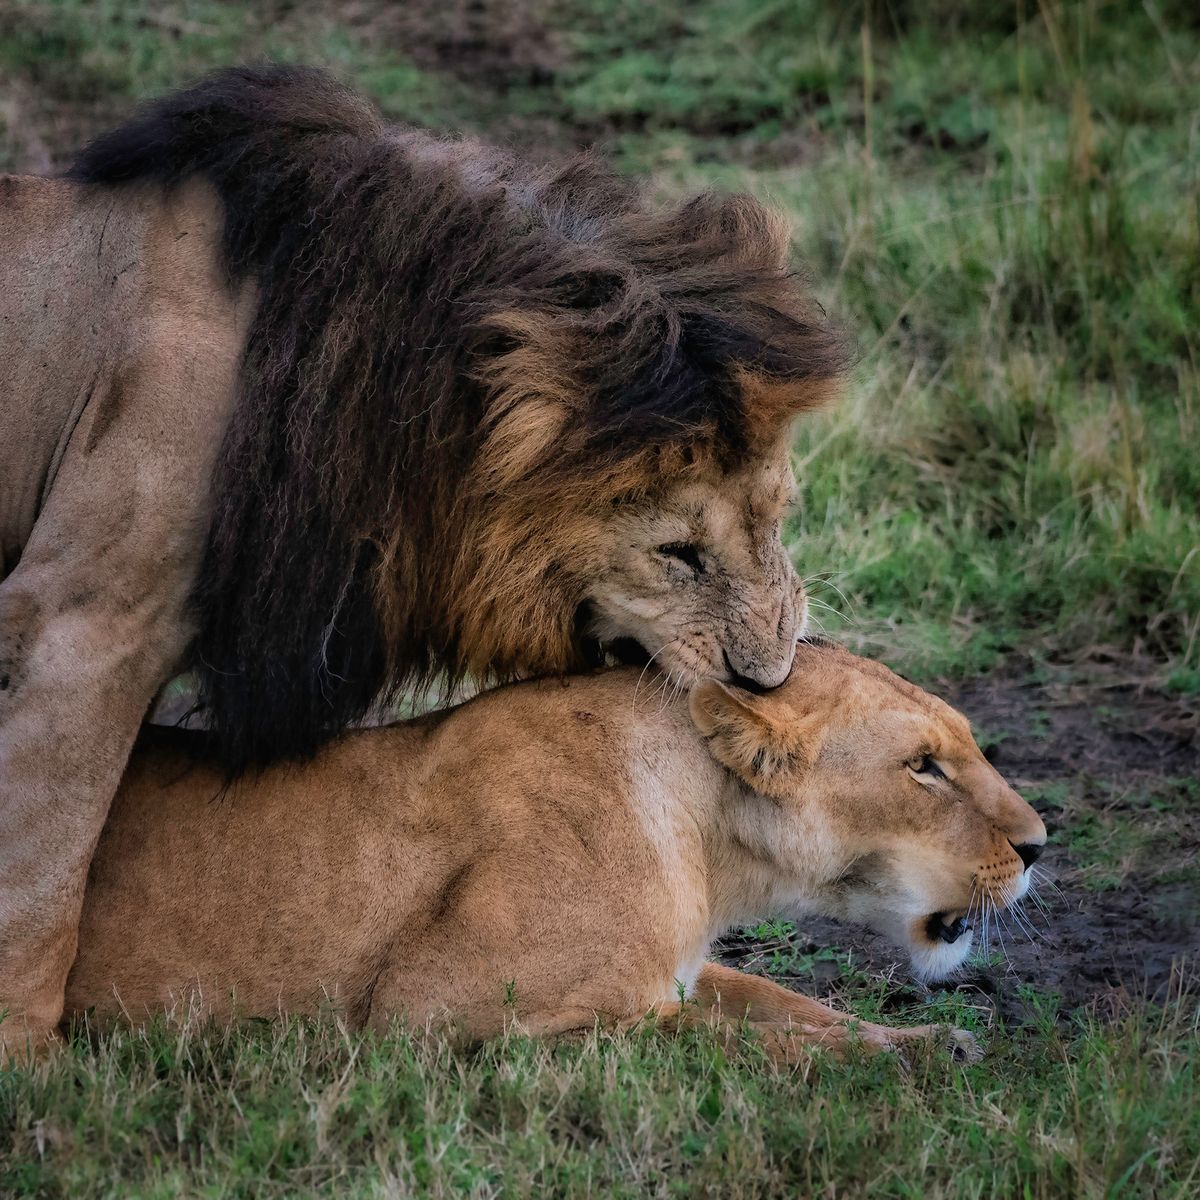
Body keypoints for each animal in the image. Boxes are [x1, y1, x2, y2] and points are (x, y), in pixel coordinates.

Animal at [0, 68, 849, 1060]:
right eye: (678, 553)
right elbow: (43, 867)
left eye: (780, 516)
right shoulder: (80, 626)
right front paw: (31, 1064)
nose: (769, 679)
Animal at [63, 638, 1041, 1060]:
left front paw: (922, 1041)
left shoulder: (685, 969)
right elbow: (713, 1039)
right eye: (923, 767)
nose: (1037, 846)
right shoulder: (433, 1016)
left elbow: (781, 1001)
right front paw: (897, 1057)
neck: (709, 851)